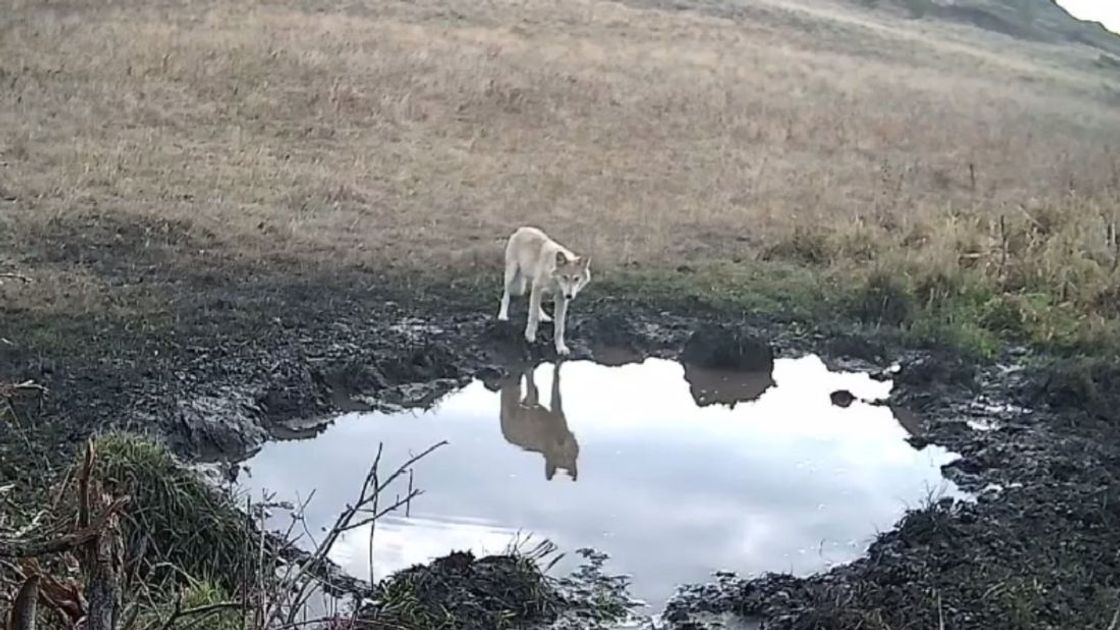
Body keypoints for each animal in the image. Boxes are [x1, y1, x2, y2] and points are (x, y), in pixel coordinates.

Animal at [497, 227, 591, 356]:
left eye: (576, 279)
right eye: (565, 277)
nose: (569, 296)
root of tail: (522, 229)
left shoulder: (560, 298)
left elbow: (559, 327)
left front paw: (560, 348)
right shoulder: (538, 287)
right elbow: (533, 315)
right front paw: (529, 336)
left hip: (532, 282)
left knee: (532, 300)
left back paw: (543, 316)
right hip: (512, 275)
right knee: (506, 295)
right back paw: (502, 315)